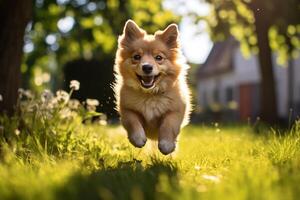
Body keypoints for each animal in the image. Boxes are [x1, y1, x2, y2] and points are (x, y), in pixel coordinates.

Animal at [113, 19, 191, 155]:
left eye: (158, 58)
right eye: (136, 57)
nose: (147, 67)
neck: (150, 94)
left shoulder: (176, 110)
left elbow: (169, 125)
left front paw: (167, 145)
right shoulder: (127, 109)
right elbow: (132, 121)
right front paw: (138, 139)